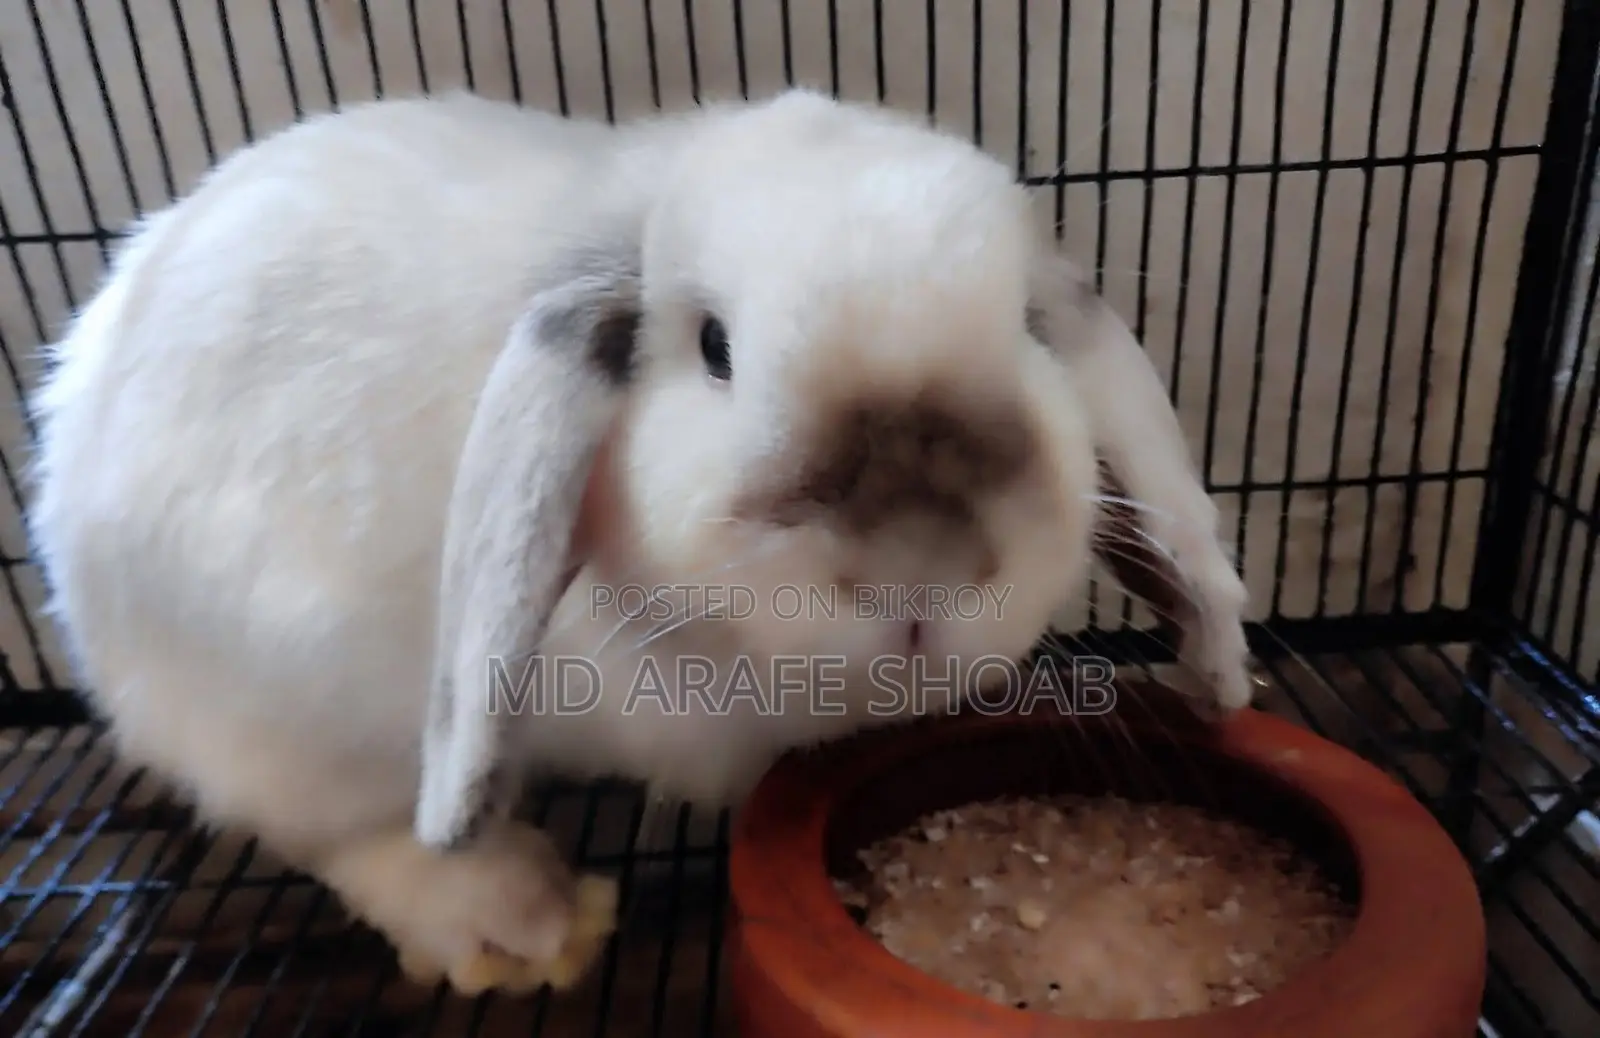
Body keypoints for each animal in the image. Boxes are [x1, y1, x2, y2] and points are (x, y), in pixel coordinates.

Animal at [25, 87, 1253, 998]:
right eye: (713, 349)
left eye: (1031, 329)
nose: (921, 568)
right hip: (281, 716)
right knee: (341, 830)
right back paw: (521, 922)